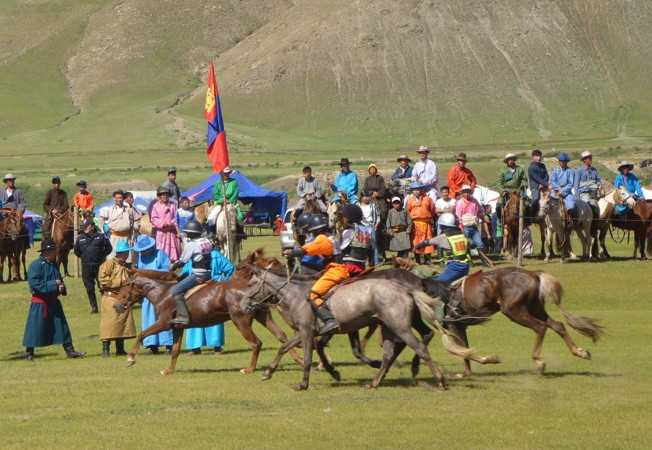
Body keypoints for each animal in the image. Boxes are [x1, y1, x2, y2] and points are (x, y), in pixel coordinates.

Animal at [112, 270, 304, 376]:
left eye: (124, 286)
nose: (116, 306)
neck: (161, 293)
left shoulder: (164, 324)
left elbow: (142, 334)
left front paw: (130, 359)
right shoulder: (177, 327)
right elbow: (175, 351)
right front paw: (169, 371)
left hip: (240, 321)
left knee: (256, 343)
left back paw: (249, 369)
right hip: (263, 317)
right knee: (281, 335)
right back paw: (300, 360)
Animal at [243, 268, 494, 390]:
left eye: (250, 284)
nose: (244, 305)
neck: (296, 294)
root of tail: (407, 289)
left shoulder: (307, 333)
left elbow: (307, 359)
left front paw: (303, 384)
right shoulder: (304, 332)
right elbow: (284, 347)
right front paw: (268, 372)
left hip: (400, 327)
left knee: (420, 346)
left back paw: (439, 381)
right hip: (389, 328)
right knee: (391, 352)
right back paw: (375, 381)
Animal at [420, 268, 604, 376]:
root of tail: (532, 273)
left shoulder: (453, 325)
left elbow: (463, 350)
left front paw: (483, 363)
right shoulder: (460, 326)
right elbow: (465, 349)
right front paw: (467, 372)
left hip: (513, 311)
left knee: (540, 327)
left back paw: (539, 361)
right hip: (535, 308)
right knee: (558, 325)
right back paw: (580, 352)